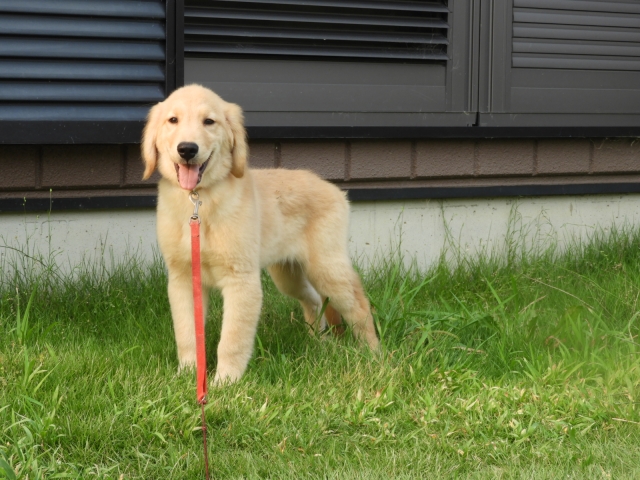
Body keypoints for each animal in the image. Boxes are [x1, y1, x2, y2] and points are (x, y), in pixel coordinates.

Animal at [141, 84, 379, 384]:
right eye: (172, 120)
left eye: (209, 122)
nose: (187, 149)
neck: (199, 200)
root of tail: (335, 190)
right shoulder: (183, 279)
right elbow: (187, 334)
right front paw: (188, 375)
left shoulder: (242, 281)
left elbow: (232, 339)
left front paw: (224, 383)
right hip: (287, 274)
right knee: (313, 299)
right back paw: (318, 341)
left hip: (326, 268)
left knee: (359, 306)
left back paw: (374, 355)